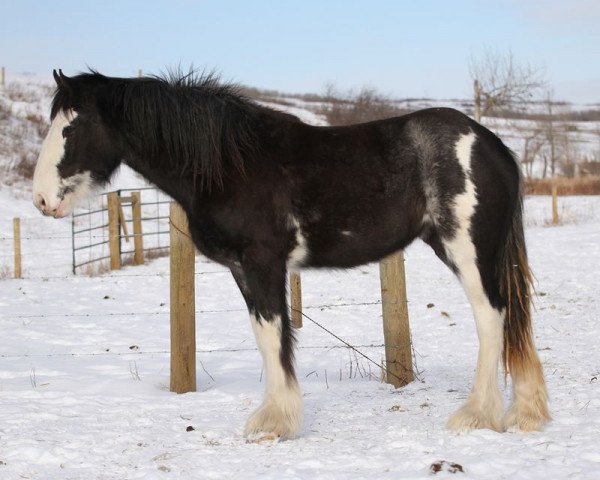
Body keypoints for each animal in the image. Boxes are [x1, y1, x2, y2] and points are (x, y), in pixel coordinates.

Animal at [32, 69, 548, 440]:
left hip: (467, 250)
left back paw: (477, 415)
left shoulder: (263, 263)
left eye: (72, 126)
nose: (41, 200)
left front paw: (275, 425)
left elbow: (274, 337)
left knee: (491, 319)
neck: (229, 164)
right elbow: (268, 337)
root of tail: (493, 145)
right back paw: (525, 414)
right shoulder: (244, 269)